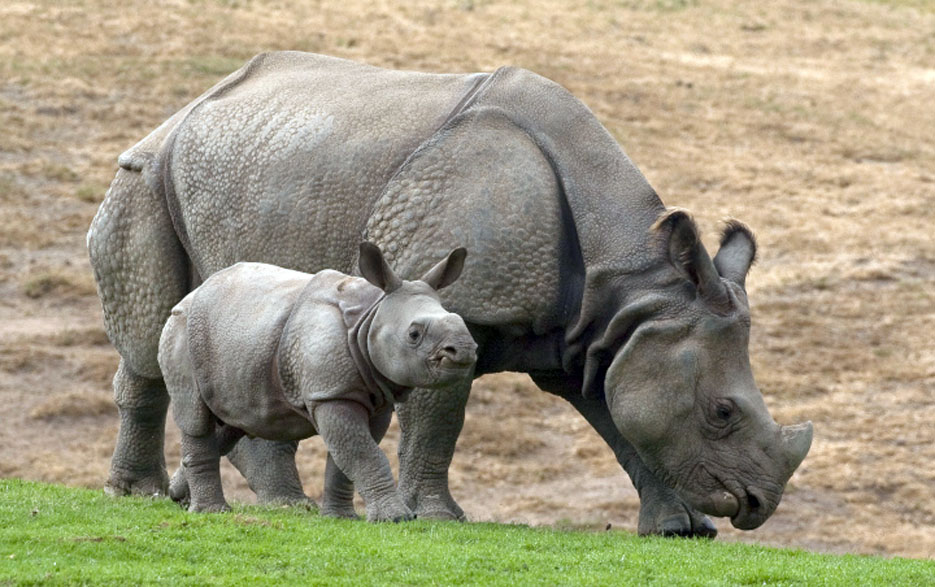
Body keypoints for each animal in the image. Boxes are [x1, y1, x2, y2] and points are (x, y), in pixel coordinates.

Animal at [157, 241, 476, 520]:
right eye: (414, 334)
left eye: (461, 321)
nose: (463, 349)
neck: (371, 314)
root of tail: (189, 296)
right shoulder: (331, 393)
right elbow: (363, 453)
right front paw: (396, 518)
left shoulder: (375, 398)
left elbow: (346, 456)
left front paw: (342, 517)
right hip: (182, 330)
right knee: (195, 415)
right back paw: (211, 512)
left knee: (231, 423)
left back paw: (178, 496)